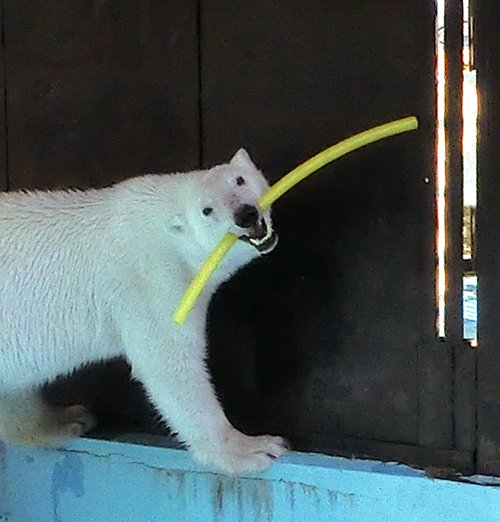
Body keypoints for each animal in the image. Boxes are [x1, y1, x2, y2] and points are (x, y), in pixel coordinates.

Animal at [0, 148, 290, 474]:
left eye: (239, 179)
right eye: (206, 210)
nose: (245, 214)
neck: (160, 220)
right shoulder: (151, 280)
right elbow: (168, 361)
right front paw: (250, 448)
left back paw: (64, 420)